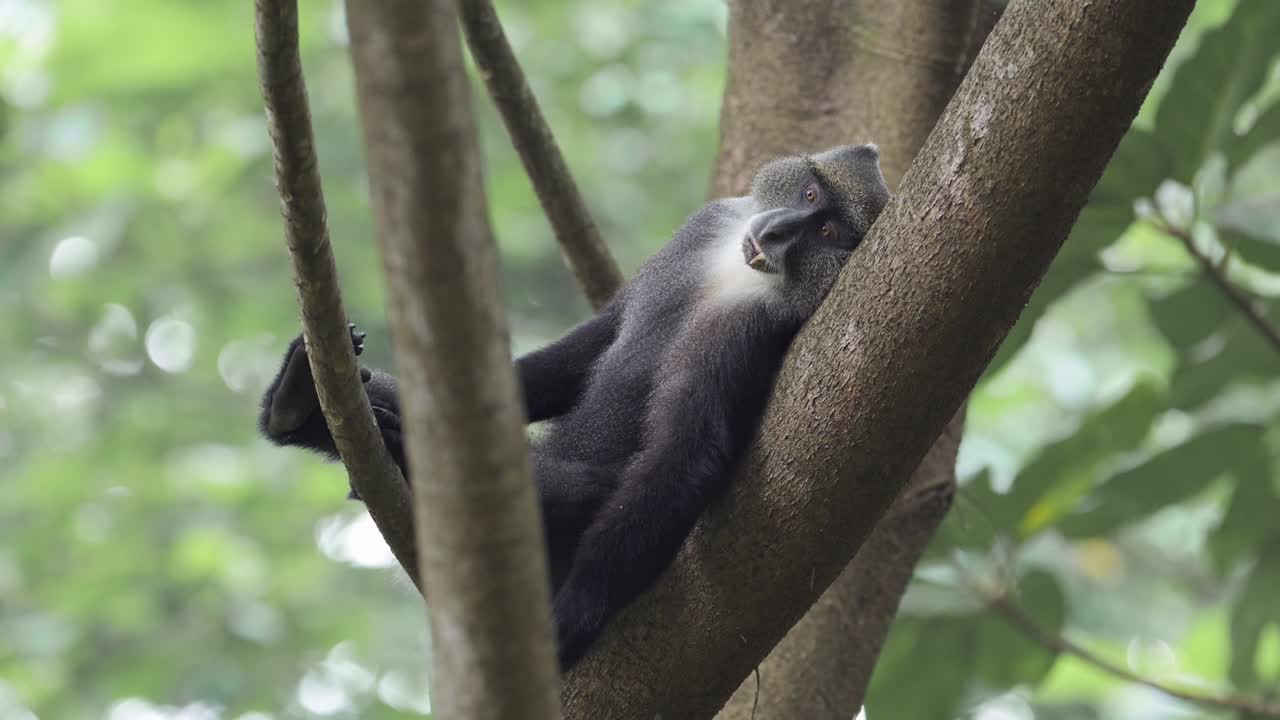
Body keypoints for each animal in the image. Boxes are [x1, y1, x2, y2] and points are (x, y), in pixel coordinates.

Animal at [259, 144, 890, 669]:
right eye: (809, 196)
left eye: (826, 229)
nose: (780, 232)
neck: (737, 272)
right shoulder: (700, 231)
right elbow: (595, 339)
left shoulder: (757, 331)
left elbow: (688, 450)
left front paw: (577, 611)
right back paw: (299, 404)